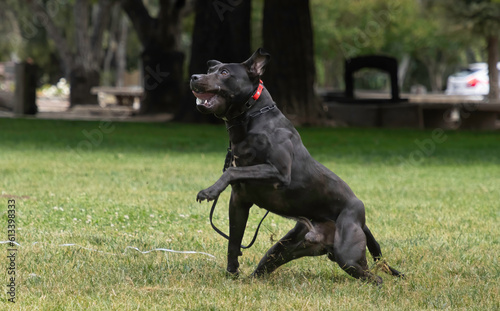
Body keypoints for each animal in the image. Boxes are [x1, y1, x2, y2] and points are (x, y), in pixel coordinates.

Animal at [188, 47, 402, 284]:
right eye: (210, 70)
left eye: (224, 72)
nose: (194, 77)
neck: (250, 120)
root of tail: (361, 219)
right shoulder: (239, 201)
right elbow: (234, 241)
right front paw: (232, 272)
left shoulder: (279, 173)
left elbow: (233, 171)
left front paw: (210, 191)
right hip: (281, 250)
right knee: (265, 265)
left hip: (348, 255)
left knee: (376, 278)